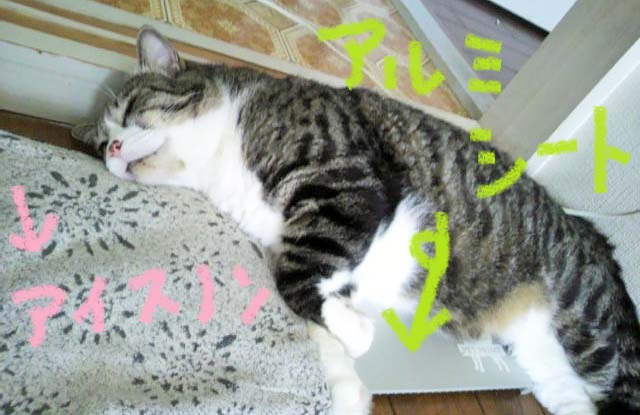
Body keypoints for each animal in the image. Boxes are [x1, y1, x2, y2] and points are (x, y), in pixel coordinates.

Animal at [73, 25, 640, 415]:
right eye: (100, 144)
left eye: (132, 110)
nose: (114, 150)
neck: (222, 163)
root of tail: (586, 229)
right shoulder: (300, 241)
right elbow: (304, 287)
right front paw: (345, 344)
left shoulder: (344, 178)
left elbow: (296, 278)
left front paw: (356, 332)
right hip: (542, 351)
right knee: (571, 395)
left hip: (587, 329)